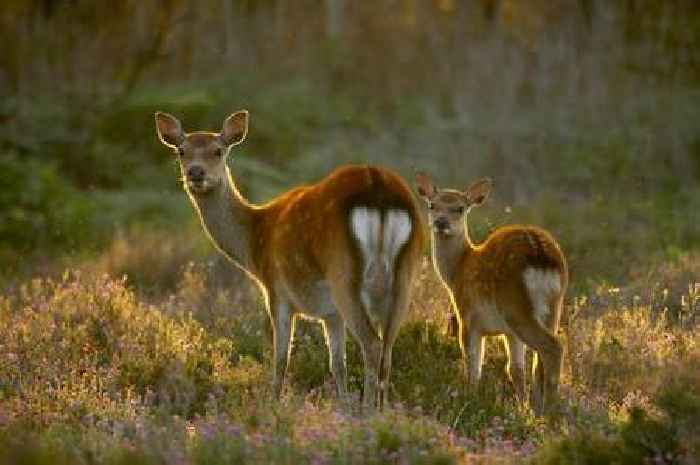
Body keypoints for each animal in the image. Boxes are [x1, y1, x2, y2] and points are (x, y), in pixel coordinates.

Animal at [155, 110, 424, 408]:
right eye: (181, 151)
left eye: (218, 151)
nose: (195, 172)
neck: (255, 242)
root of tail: (377, 185)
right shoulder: (330, 313)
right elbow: (337, 364)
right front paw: (343, 407)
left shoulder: (277, 292)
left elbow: (281, 360)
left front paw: (273, 405)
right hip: (406, 275)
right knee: (388, 348)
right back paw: (383, 410)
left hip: (343, 274)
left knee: (373, 344)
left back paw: (368, 411)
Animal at [412, 171, 568, 414]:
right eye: (431, 205)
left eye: (460, 208)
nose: (440, 222)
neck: (457, 271)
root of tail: (540, 253)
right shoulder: (508, 333)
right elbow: (515, 369)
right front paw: (522, 409)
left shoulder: (468, 317)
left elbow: (473, 363)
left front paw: (471, 398)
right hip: (554, 306)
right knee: (541, 359)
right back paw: (541, 408)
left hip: (515, 306)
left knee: (553, 347)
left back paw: (551, 410)